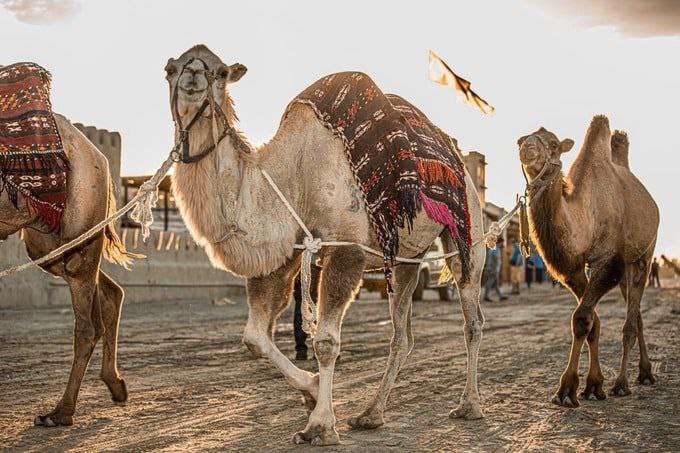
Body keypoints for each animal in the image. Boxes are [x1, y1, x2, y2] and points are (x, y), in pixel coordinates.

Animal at [0, 115, 137, 426]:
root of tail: (98, 155)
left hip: (82, 214)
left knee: (86, 321)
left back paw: (60, 412)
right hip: (45, 240)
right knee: (107, 292)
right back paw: (115, 384)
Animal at [165, 44, 488, 444]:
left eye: (221, 72)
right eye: (170, 69)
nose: (193, 75)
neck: (295, 173)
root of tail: (458, 161)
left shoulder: (346, 248)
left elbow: (325, 342)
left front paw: (319, 424)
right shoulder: (284, 251)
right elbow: (254, 337)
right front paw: (313, 389)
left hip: (467, 231)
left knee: (471, 317)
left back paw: (469, 406)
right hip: (405, 258)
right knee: (402, 335)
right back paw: (371, 414)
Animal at [520, 115, 660, 406]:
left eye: (553, 143)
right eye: (520, 139)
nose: (527, 146)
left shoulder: (610, 261)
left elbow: (583, 317)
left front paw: (567, 390)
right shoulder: (574, 270)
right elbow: (591, 320)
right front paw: (593, 385)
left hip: (645, 254)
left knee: (630, 321)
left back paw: (624, 382)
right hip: (628, 269)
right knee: (637, 314)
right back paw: (644, 372)